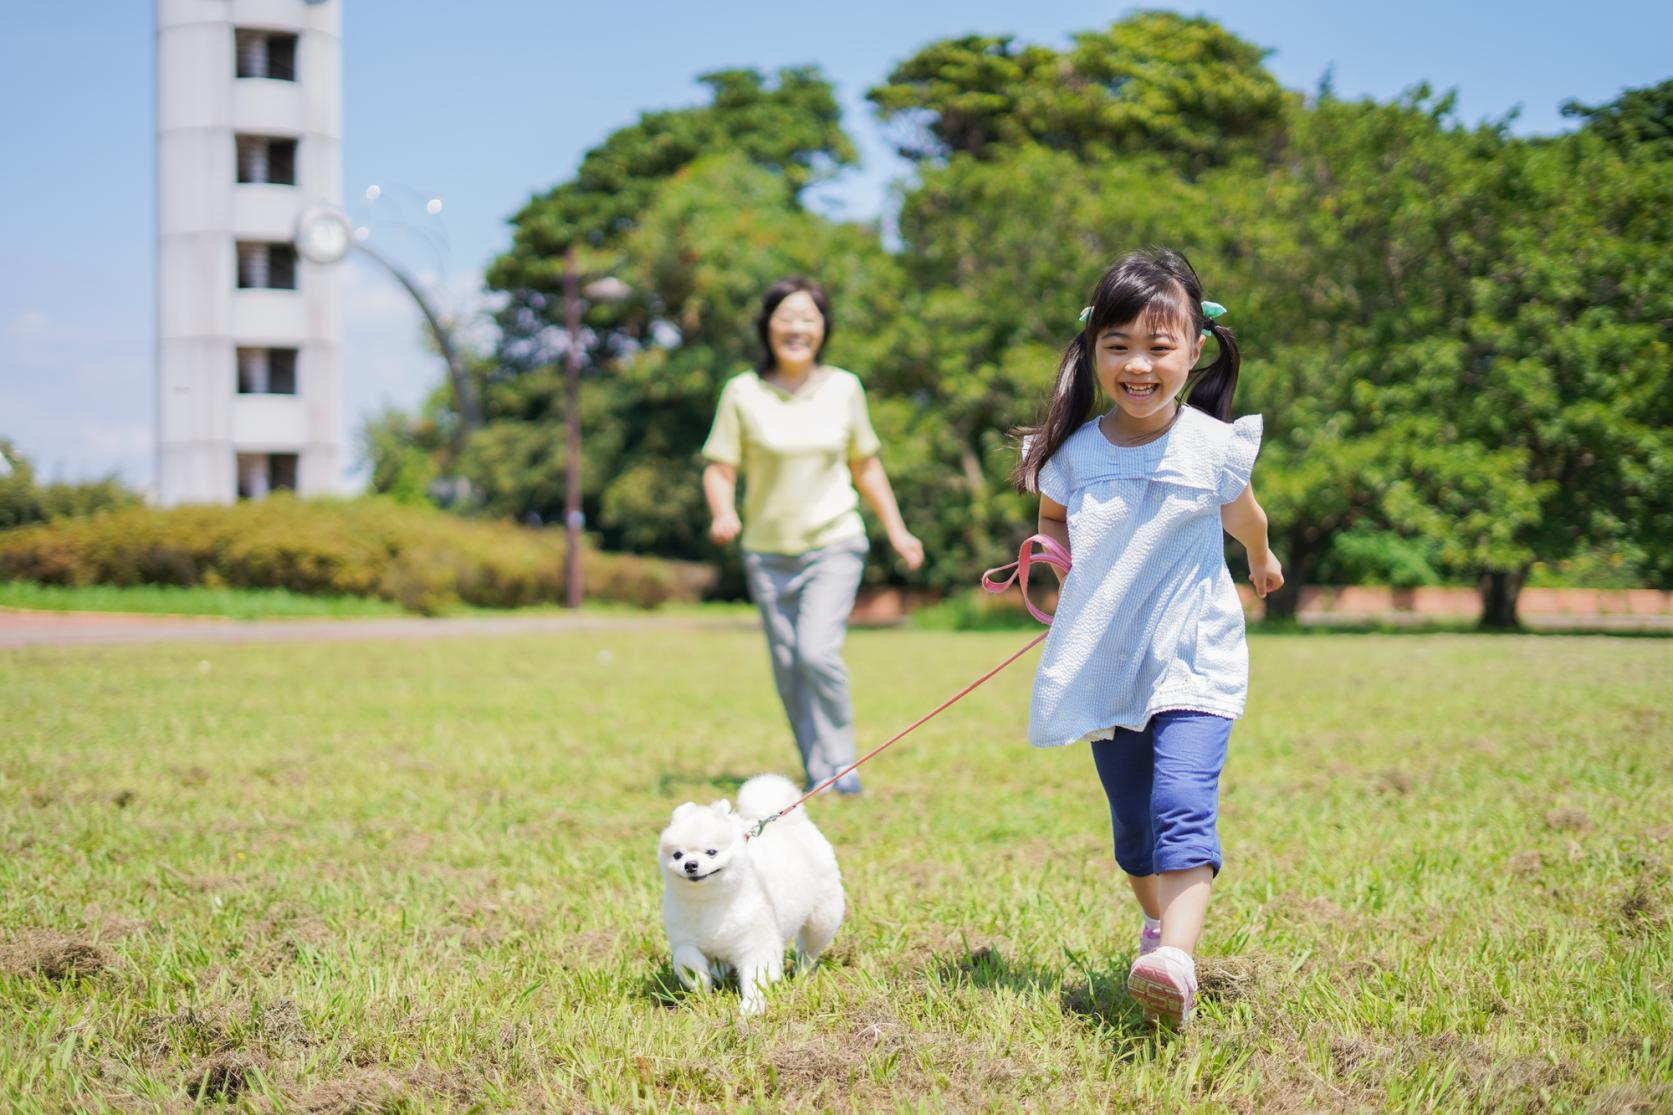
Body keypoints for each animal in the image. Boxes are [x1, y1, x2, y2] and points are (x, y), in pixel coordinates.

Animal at [655, 770, 843, 1011]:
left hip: (822, 918)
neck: (709, 901)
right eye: (677, 855)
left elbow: (755, 976)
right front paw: (700, 981)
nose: (690, 865)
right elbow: (686, 959)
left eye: (711, 852)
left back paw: (802, 973)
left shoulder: (755, 942)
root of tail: (794, 821)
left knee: (809, 951)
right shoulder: (684, 938)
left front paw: (751, 1007)